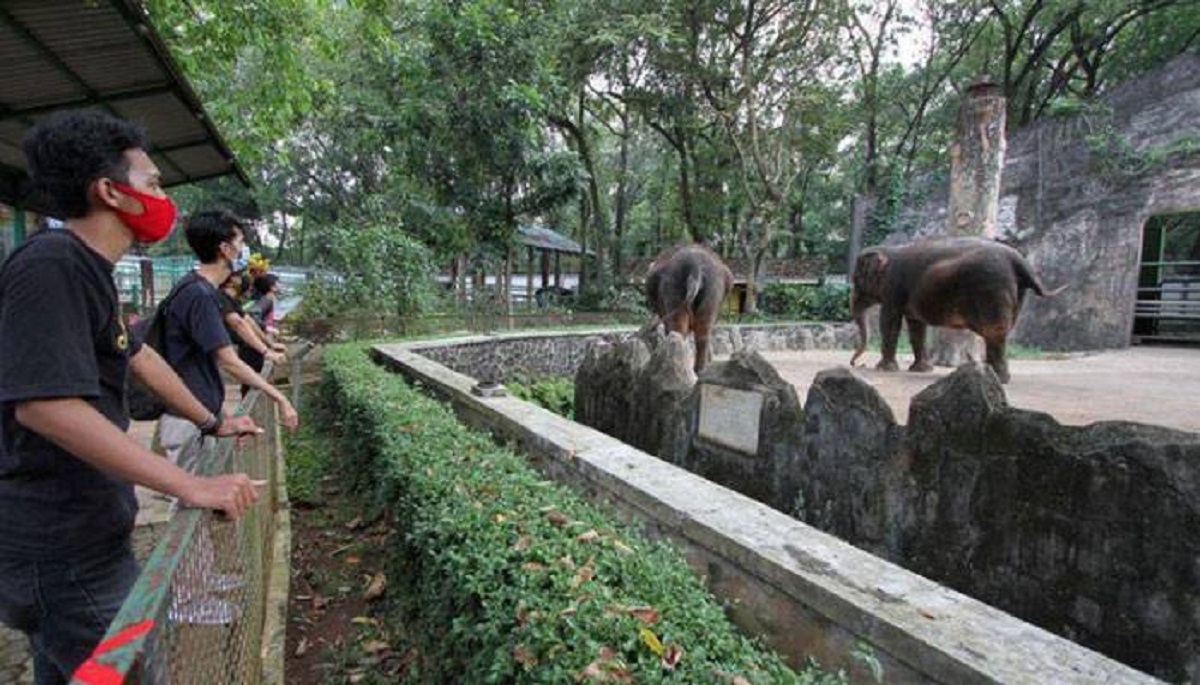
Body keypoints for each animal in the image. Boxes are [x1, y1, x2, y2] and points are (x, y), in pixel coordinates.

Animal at [643, 244, 734, 374]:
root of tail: (695, 267)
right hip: (713, 289)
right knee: (703, 331)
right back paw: (699, 371)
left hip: (673, 285)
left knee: (679, 329)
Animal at [849, 238, 1065, 383]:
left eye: (856, 280)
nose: (855, 364)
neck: (891, 249)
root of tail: (1020, 261)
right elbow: (916, 326)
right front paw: (921, 370)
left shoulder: (894, 286)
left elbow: (890, 320)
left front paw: (884, 369)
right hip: (1017, 293)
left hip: (991, 288)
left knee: (995, 334)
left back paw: (997, 378)